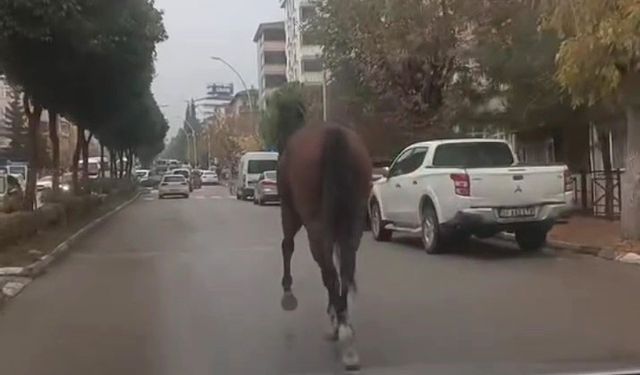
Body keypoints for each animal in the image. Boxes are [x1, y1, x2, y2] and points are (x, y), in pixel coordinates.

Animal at [278, 125, 372, 372]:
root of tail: (333, 133)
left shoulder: (289, 210)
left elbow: (287, 245)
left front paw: (288, 292)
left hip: (312, 223)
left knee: (329, 273)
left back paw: (340, 329)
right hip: (355, 219)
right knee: (344, 270)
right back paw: (345, 332)